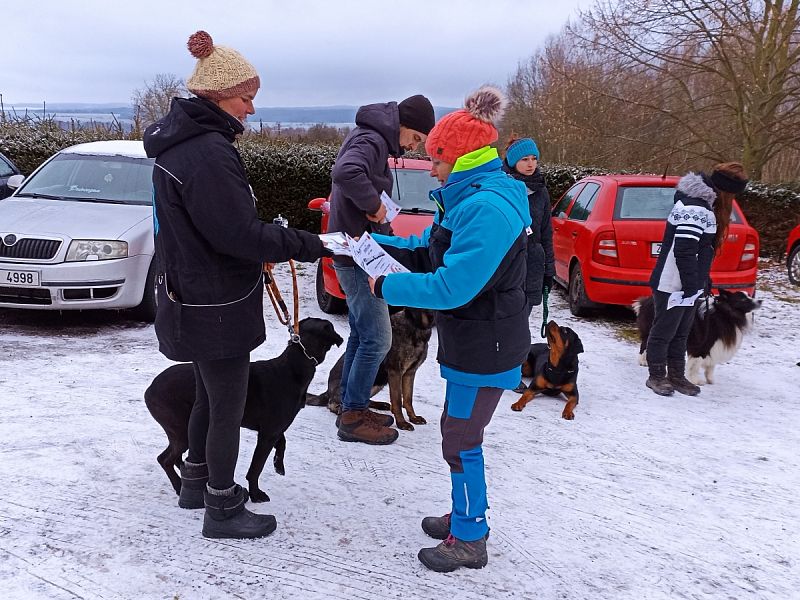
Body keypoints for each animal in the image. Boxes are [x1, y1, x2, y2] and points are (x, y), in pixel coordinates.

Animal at [145, 316, 342, 504]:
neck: (293, 367)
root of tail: (149, 390)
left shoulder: (273, 429)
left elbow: (282, 442)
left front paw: (278, 464)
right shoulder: (268, 434)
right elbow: (256, 468)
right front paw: (256, 494)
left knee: (175, 459)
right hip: (180, 430)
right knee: (165, 459)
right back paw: (179, 487)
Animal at [306, 310, 434, 432]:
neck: (415, 325)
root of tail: (328, 391)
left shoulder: (410, 373)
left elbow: (408, 399)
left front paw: (413, 418)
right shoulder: (395, 372)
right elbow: (397, 400)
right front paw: (402, 423)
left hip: (378, 383)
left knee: (365, 400)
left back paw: (380, 406)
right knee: (333, 404)